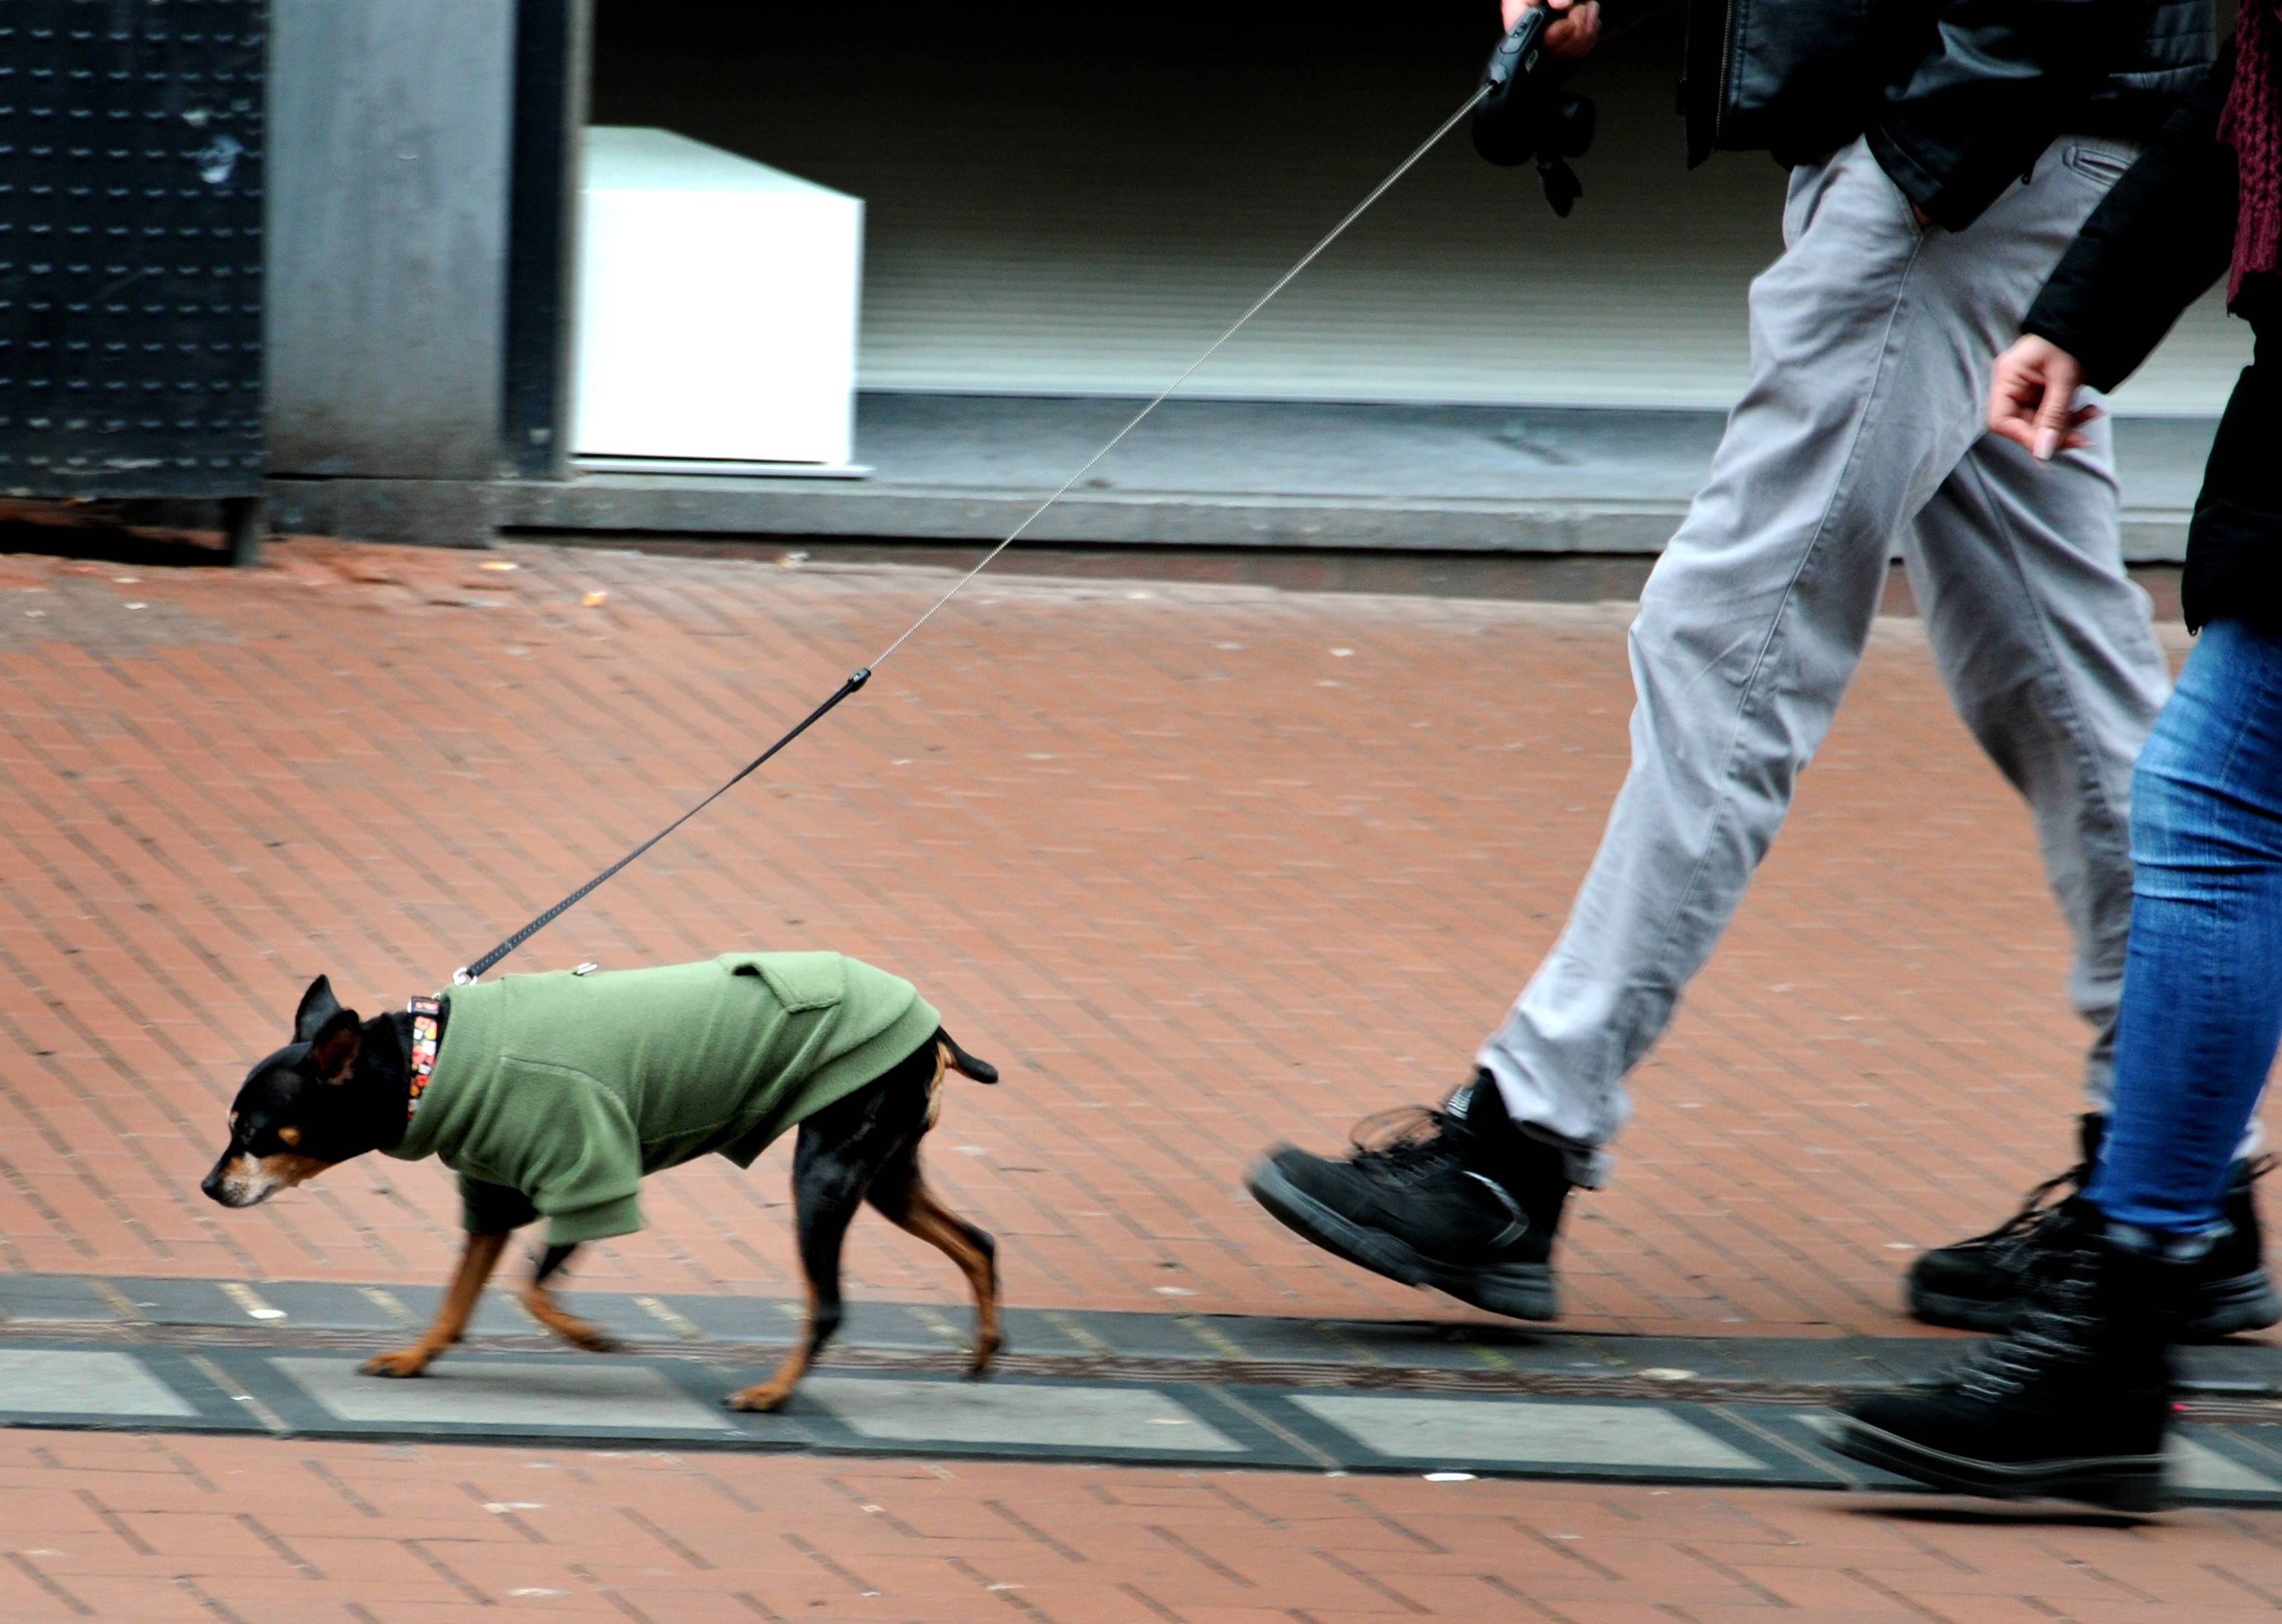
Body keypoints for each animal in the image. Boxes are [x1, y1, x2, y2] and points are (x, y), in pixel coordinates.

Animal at [202, 953, 1001, 1411]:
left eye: (254, 1136)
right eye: (231, 1128)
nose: (210, 1187)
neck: (428, 1062)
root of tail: (935, 1033)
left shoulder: (590, 1177)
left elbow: (530, 1290)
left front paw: (589, 1337)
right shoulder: (496, 1199)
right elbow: (459, 1301)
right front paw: (415, 1357)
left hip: (826, 1178)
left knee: (830, 1306)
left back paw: (773, 1393)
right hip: (885, 1177)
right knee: (979, 1244)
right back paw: (986, 1350)